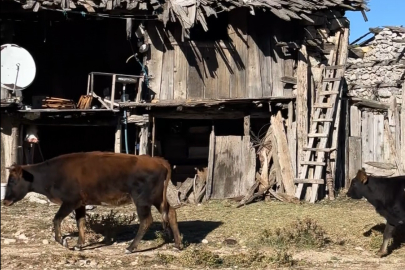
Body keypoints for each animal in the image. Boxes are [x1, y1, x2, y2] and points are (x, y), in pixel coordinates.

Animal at [2, 152, 182, 253]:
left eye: (13, 181)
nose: (5, 201)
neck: (52, 173)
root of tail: (157, 160)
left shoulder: (70, 202)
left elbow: (57, 219)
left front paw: (63, 241)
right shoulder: (80, 204)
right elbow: (80, 222)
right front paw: (79, 244)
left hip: (142, 201)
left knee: (146, 220)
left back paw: (130, 248)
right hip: (158, 199)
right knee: (171, 213)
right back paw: (177, 245)